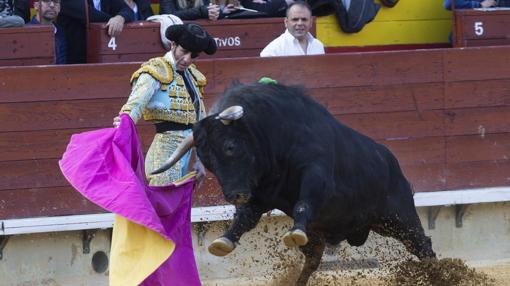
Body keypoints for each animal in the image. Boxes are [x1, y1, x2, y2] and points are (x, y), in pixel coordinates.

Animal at [151, 81, 434, 284]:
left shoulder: (316, 176)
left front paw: (294, 232)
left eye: (230, 146)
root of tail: (391, 161)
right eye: (207, 161)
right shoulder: (259, 195)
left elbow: (303, 203)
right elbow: (244, 219)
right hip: (323, 234)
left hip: (399, 217)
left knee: (423, 245)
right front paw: (224, 241)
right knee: (312, 262)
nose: (233, 195)